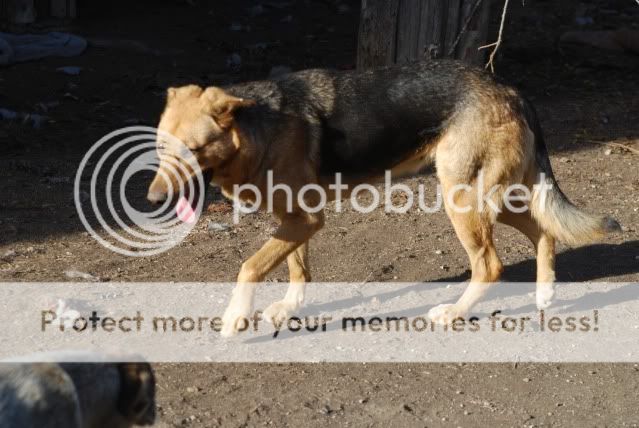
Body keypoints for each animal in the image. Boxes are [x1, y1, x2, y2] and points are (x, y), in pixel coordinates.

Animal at [148, 60, 624, 336]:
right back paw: (544, 293)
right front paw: (289, 307)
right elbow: (295, 267)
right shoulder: (296, 219)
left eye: (192, 150)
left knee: (490, 265)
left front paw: (237, 316)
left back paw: (455, 313)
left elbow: (250, 266)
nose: (152, 199)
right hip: (490, 198)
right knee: (544, 230)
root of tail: (510, 90)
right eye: (159, 147)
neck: (254, 129)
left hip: (463, 200)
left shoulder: (305, 220)